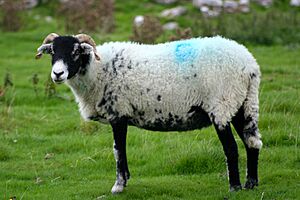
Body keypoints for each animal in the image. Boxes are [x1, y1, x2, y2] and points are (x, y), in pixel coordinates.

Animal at [35, 32, 262, 194]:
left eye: (75, 51)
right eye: (52, 52)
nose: (57, 74)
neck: (97, 69)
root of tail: (250, 65)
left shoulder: (118, 113)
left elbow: (117, 150)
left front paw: (118, 186)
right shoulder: (122, 115)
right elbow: (122, 150)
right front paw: (126, 179)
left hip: (222, 105)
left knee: (232, 148)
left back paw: (235, 187)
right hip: (243, 104)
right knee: (253, 143)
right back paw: (251, 184)